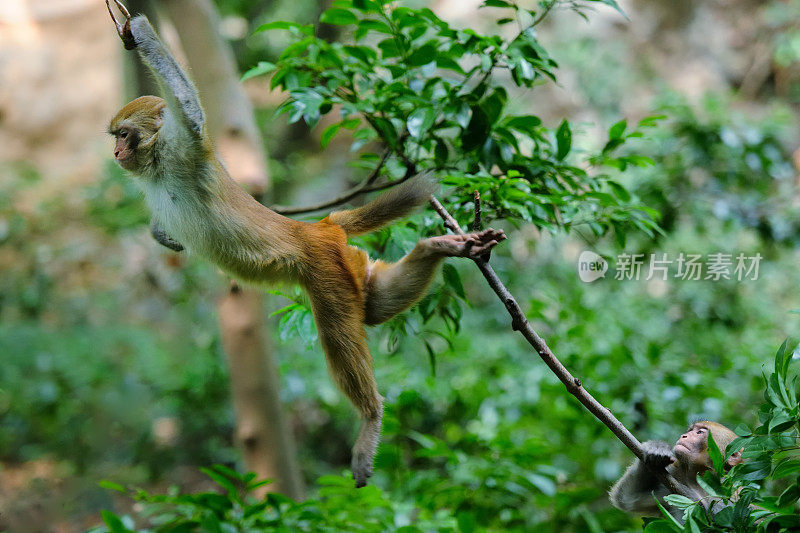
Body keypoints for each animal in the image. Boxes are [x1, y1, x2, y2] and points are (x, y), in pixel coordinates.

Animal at [104, 0, 506, 484]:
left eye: (124, 135)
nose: (116, 154)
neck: (157, 165)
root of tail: (317, 228)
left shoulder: (184, 146)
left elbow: (190, 110)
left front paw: (141, 29)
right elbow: (161, 229)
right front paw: (166, 239)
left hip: (325, 269)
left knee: (339, 330)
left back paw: (371, 417)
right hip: (350, 262)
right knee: (375, 305)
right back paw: (442, 248)